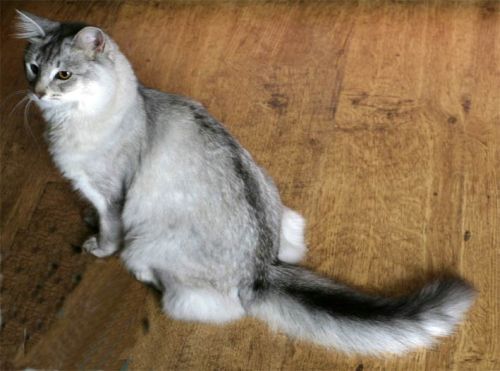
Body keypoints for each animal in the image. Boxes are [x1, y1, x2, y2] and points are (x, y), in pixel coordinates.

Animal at [15, 10, 476, 356]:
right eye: (34, 68)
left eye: (63, 75)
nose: (37, 92)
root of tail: (260, 272)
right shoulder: (97, 193)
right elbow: (96, 216)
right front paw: (89, 225)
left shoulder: (111, 195)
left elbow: (110, 230)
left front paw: (97, 246)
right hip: (284, 211)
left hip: (151, 246)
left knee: (197, 298)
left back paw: (149, 275)